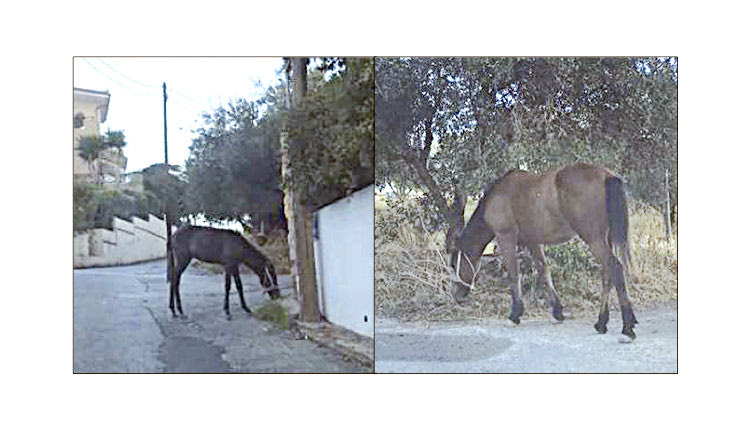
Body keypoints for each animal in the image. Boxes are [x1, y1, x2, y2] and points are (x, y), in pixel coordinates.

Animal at [452, 164, 640, 342]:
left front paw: (514, 315)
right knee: (607, 274)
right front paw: (557, 312)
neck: (499, 195)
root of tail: (607, 175)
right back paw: (601, 322)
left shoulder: (506, 237)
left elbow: (514, 274)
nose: (456, 296)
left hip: (593, 239)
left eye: (455, 264)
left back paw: (626, 329)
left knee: (616, 268)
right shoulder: (533, 242)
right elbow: (544, 271)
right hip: (603, 240)